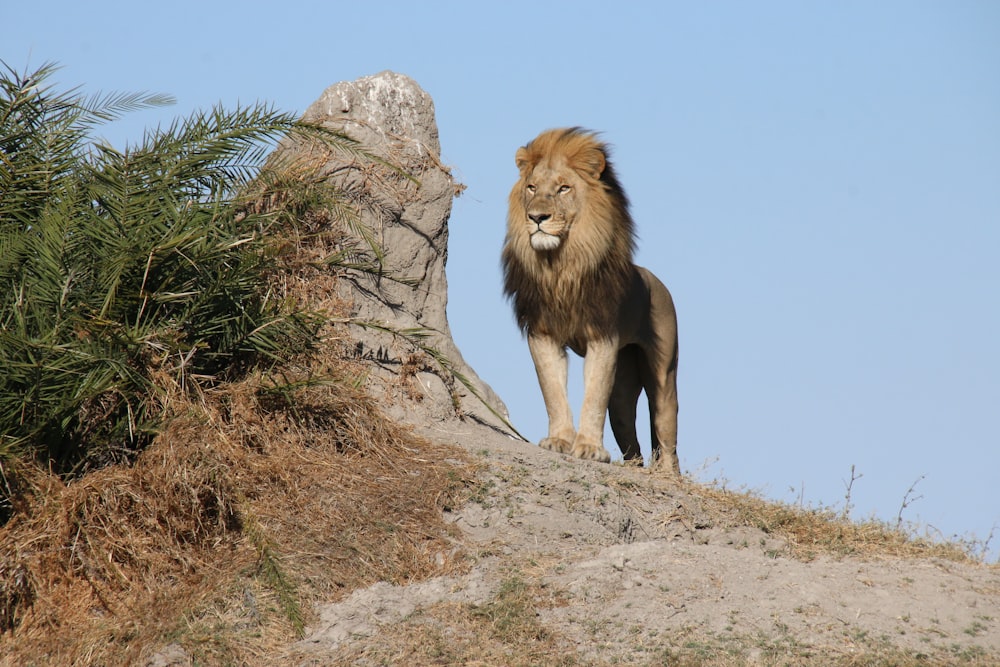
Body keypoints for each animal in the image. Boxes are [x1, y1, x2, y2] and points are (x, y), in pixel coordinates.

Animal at [500, 128, 680, 472]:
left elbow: (594, 394)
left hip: (664, 376)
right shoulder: (542, 334)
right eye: (532, 187)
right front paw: (559, 440)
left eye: (563, 188)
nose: (537, 217)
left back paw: (667, 476)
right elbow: (553, 391)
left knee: (667, 435)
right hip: (622, 393)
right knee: (633, 445)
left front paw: (588, 448)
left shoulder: (602, 336)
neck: (561, 265)